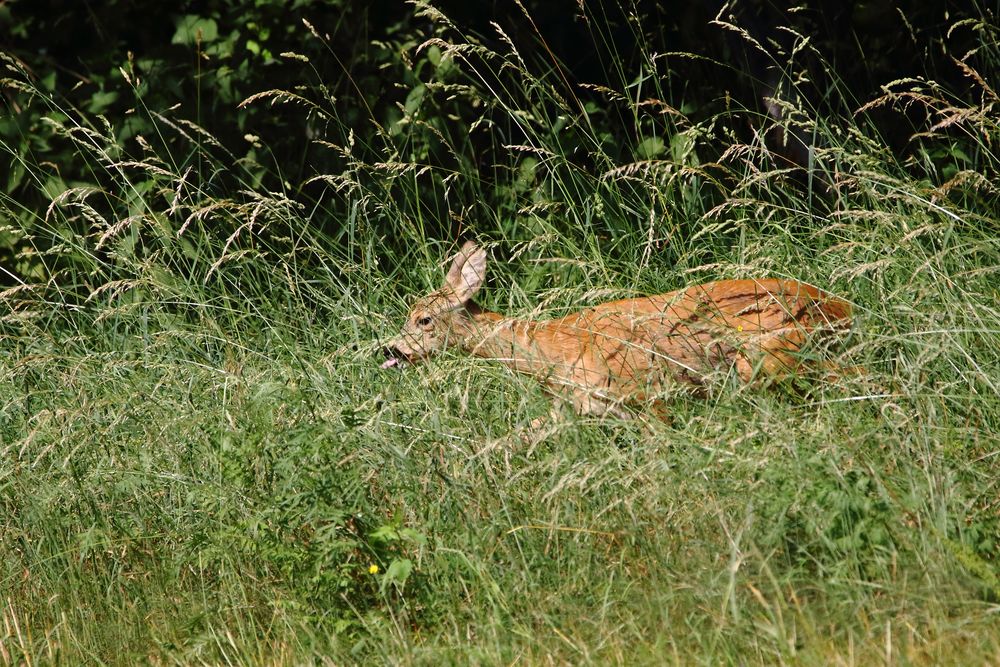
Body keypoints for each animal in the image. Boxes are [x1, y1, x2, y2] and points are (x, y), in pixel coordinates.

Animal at [382, 240, 852, 418]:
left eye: (424, 319)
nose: (390, 349)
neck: (551, 352)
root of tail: (842, 307)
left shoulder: (644, 394)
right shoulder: (575, 410)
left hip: (768, 356)